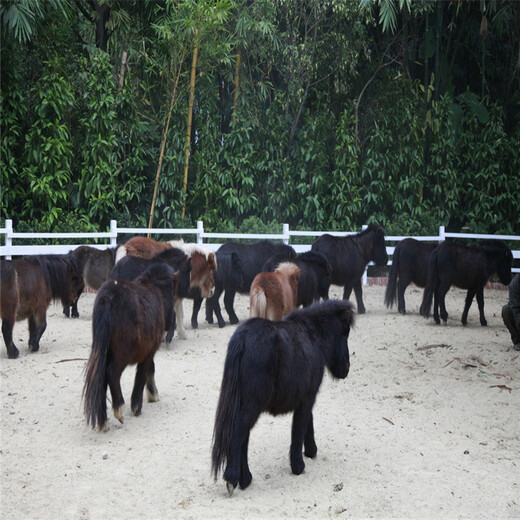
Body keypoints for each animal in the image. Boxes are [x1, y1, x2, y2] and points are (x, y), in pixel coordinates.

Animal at [82, 264, 178, 430]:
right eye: (172, 290)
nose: (172, 319)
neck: (155, 290)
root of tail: (107, 297)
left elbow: (150, 370)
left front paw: (152, 394)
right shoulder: (149, 351)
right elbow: (143, 373)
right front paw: (138, 406)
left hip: (104, 351)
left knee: (100, 376)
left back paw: (103, 420)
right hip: (123, 353)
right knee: (112, 373)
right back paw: (119, 409)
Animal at [210, 298, 354, 494]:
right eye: (345, 332)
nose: (346, 368)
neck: (313, 335)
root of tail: (242, 339)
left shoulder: (305, 398)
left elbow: (308, 422)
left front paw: (310, 451)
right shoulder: (307, 398)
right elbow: (299, 428)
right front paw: (298, 465)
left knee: (243, 437)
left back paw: (245, 479)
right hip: (252, 404)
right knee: (239, 434)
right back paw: (233, 478)